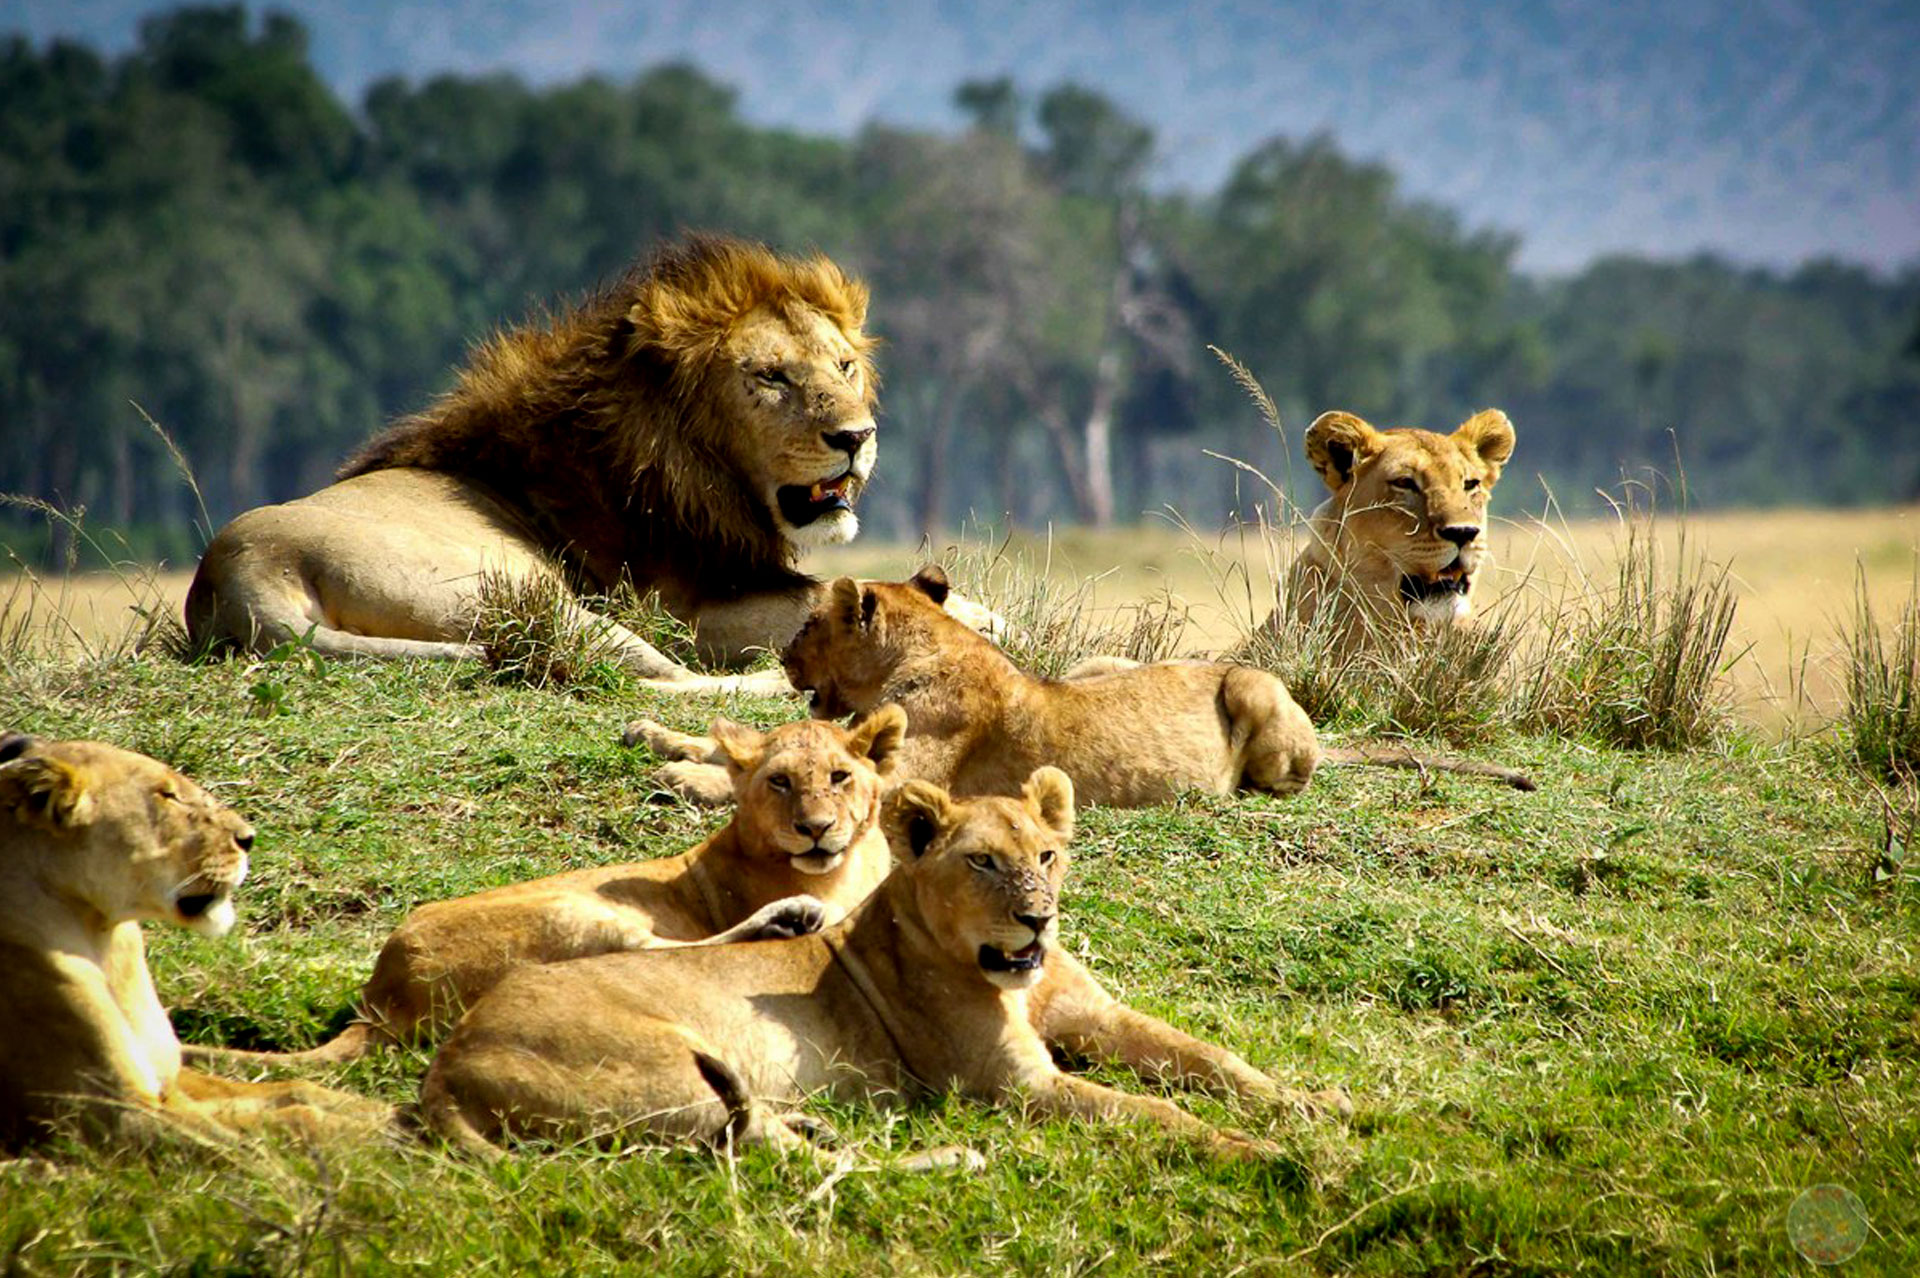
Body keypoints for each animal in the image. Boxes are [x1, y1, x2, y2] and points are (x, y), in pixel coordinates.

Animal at [0, 725, 389, 1143]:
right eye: (166, 795)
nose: (248, 838)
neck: (104, 939)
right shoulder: (111, 1116)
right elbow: (262, 1134)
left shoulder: (170, 1081)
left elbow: (291, 1092)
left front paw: (389, 1116)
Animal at [183, 229, 887, 686]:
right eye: (771, 377)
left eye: (844, 366)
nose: (857, 436)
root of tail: (236, 573)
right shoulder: (681, 605)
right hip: (536, 603)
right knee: (661, 680)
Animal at [194, 706, 906, 1066]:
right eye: (780, 782)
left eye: (840, 777)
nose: (815, 830)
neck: (849, 866)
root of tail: (378, 994)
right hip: (574, 912)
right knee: (660, 953)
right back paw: (787, 917)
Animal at [426, 767, 1313, 1151]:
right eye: (982, 862)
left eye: (1048, 855)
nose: (1038, 920)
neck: (1013, 982)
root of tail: (449, 1059)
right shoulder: (1014, 1088)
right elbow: (1156, 1112)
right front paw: (1266, 1156)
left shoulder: (1099, 1014)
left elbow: (1213, 1058)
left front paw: (1312, 1107)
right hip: (658, 1064)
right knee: (753, 1151)